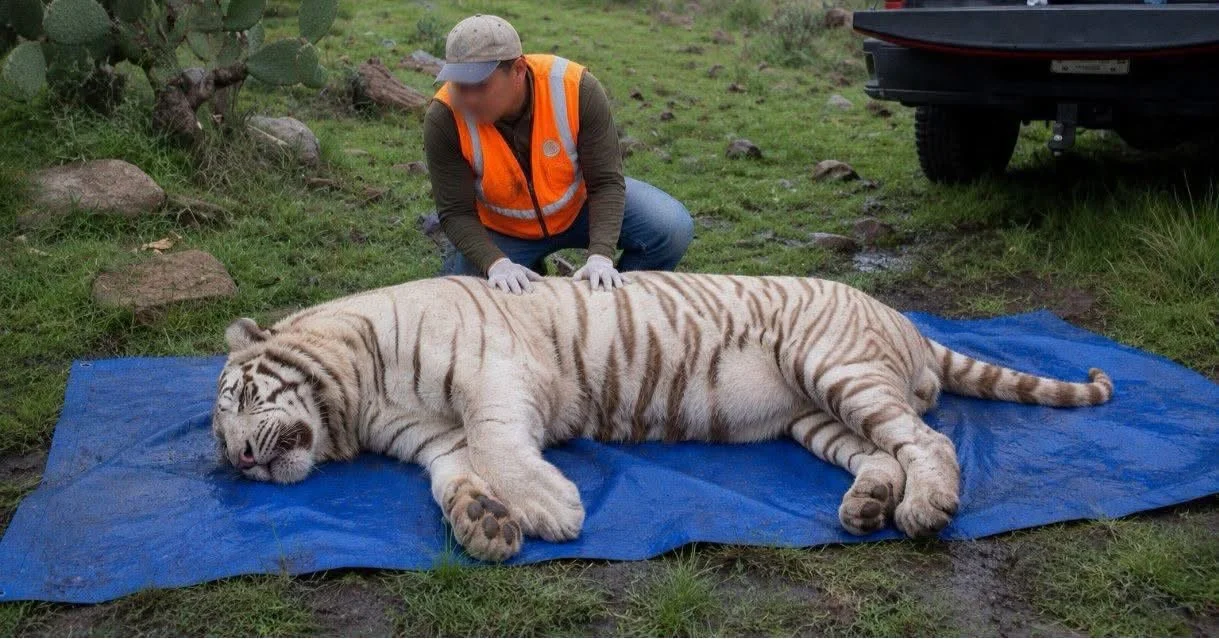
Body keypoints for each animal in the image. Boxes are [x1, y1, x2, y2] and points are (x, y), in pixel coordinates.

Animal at [212, 273, 1113, 561]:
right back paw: (867, 506)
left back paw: (924, 507)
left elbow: (499, 443)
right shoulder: (436, 440)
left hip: (833, 366)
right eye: (221, 447)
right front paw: (484, 523)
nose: (242, 463)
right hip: (813, 414)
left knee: (927, 438)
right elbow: (454, 476)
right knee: (880, 451)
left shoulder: (491, 373)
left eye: (242, 403)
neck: (357, 399)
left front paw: (549, 509)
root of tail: (908, 321)